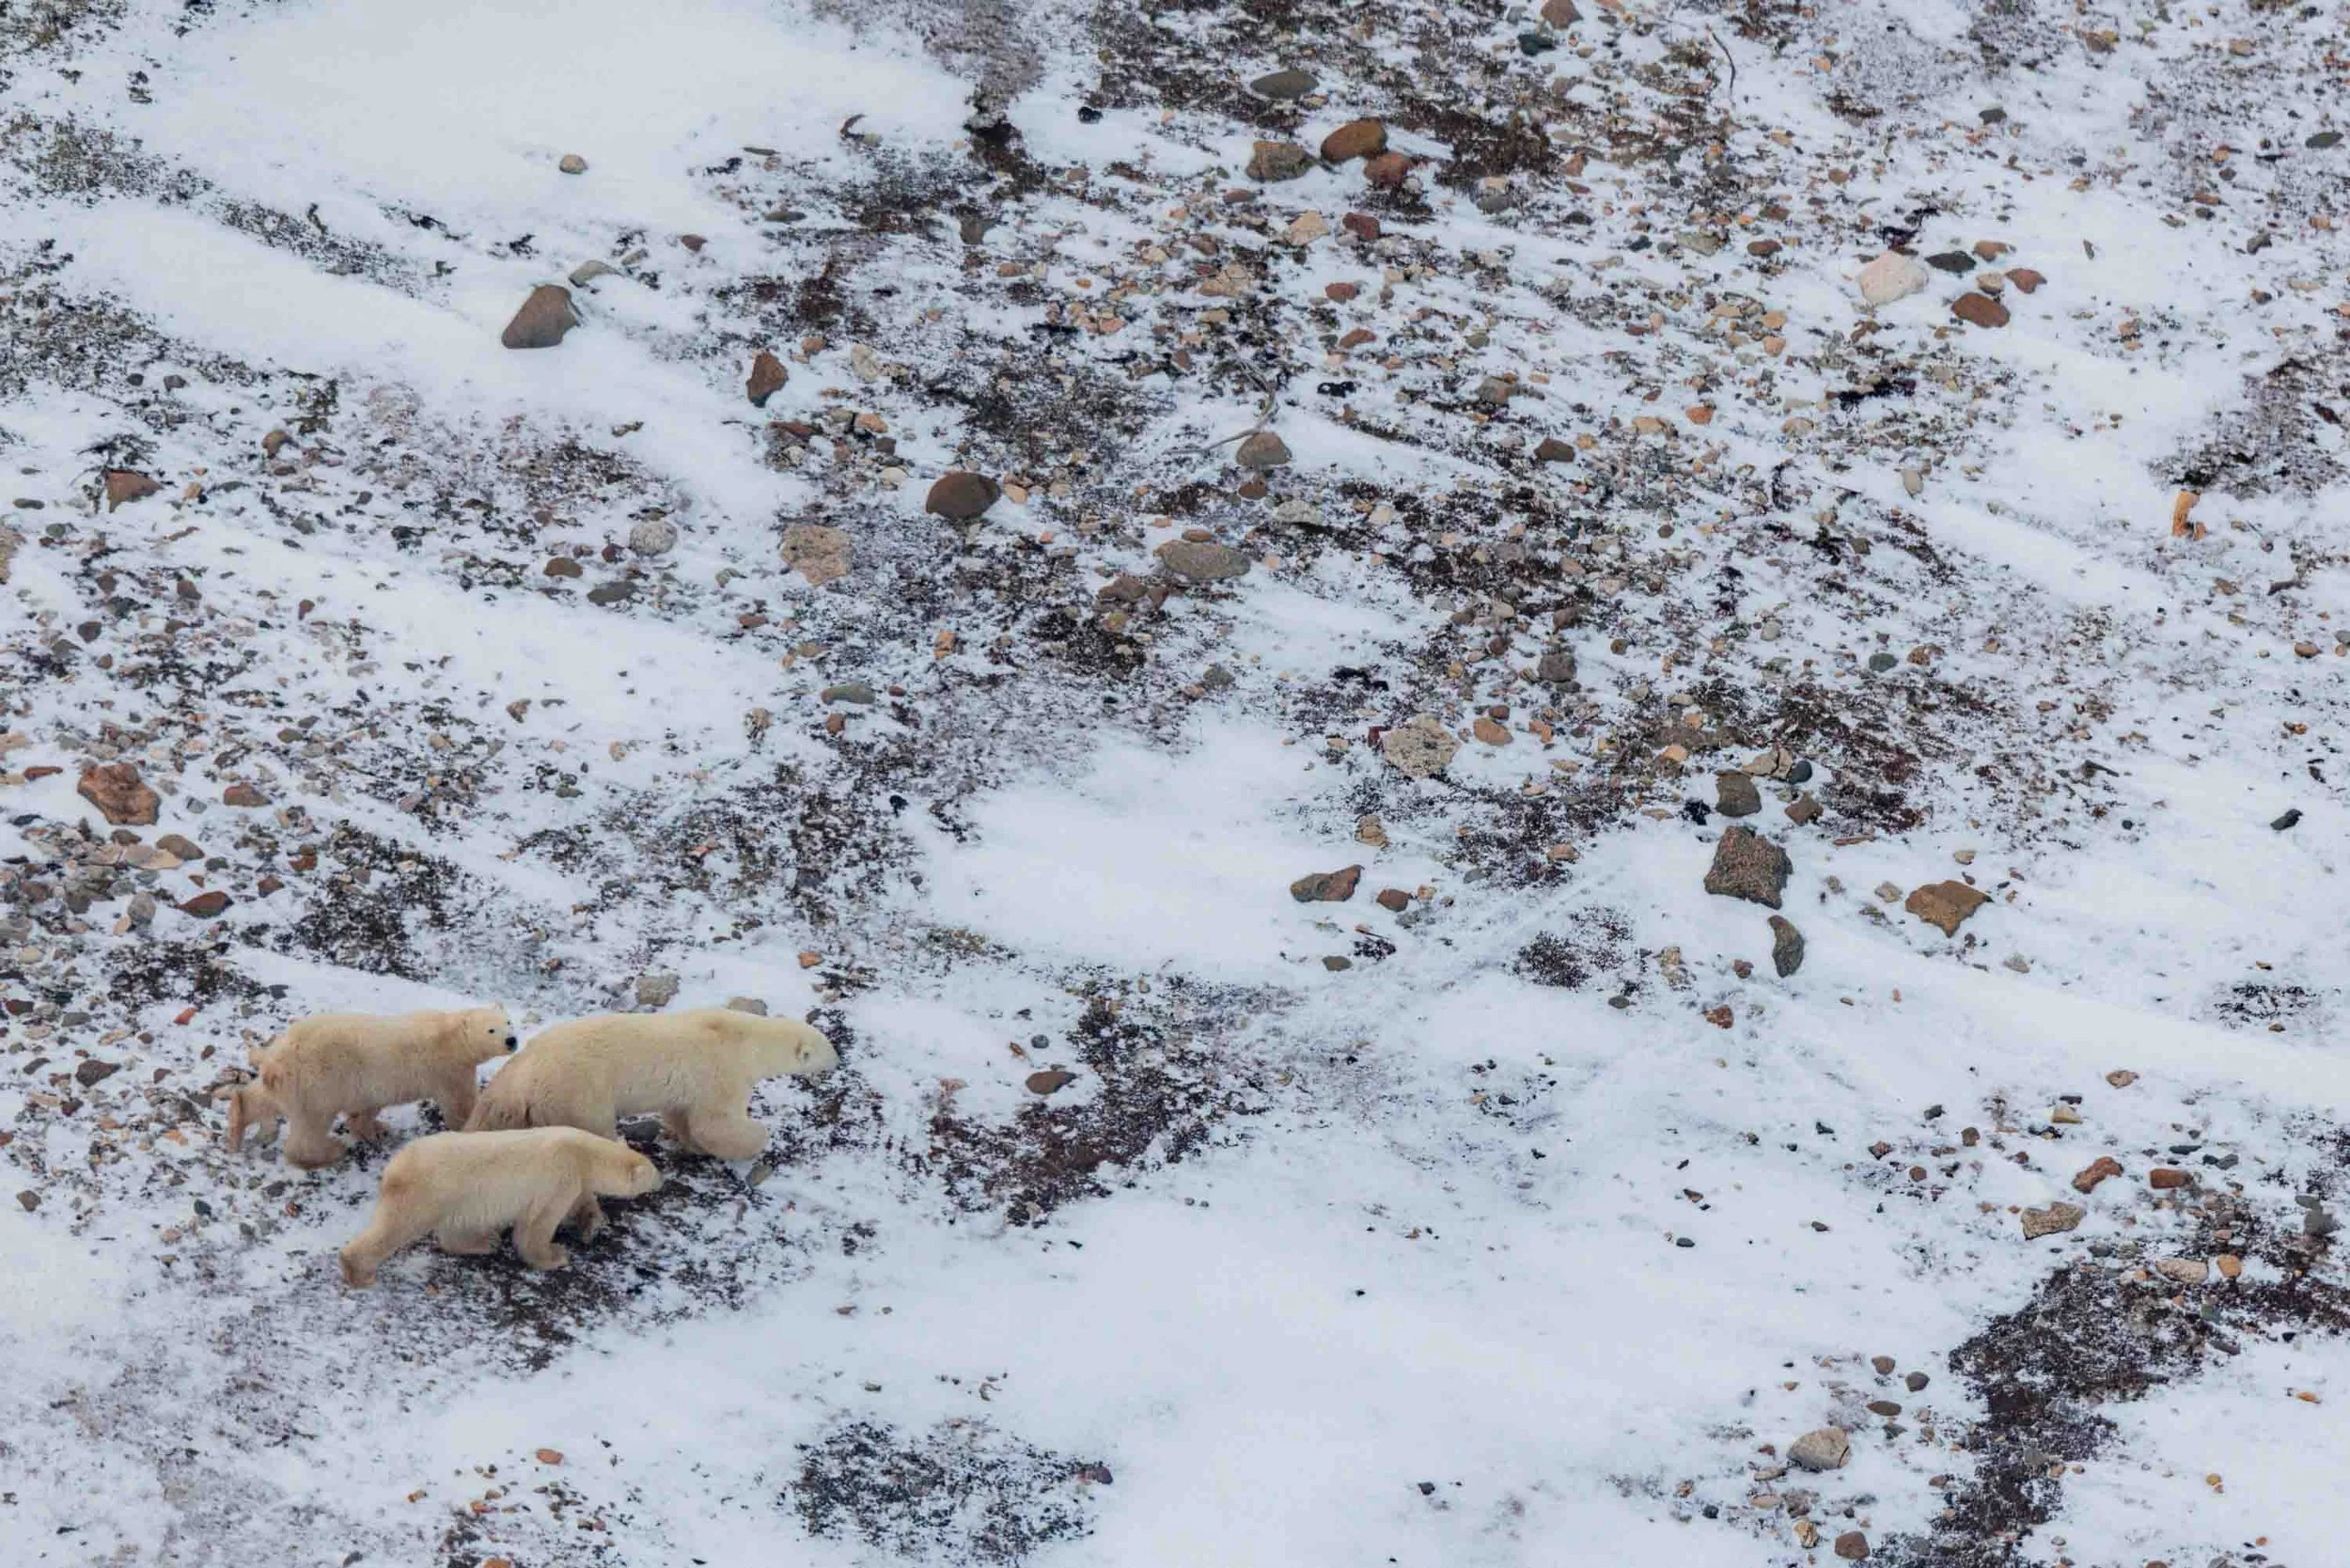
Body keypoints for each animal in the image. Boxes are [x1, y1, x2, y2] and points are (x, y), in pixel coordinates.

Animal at [222, 1006, 517, 1169]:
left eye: (508, 1021)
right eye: (491, 1030)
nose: (512, 1040)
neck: (451, 1034)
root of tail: (277, 1061)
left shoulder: (368, 1086)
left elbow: (365, 1108)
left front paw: (375, 1129)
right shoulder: (448, 1069)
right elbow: (460, 1103)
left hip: (293, 1083)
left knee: (264, 1098)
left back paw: (237, 1116)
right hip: (317, 1083)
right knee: (310, 1128)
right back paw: (329, 1151)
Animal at [337, 1126, 661, 1288]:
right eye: (654, 1170)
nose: (661, 1181)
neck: (581, 1150)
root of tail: (395, 1164)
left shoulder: (574, 1176)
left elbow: (580, 1200)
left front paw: (591, 1223)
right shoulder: (558, 1175)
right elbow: (538, 1223)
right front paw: (555, 1255)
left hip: (459, 1197)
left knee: (455, 1228)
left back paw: (484, 1241)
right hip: (428, 1192)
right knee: (395, 1226)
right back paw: (359, 1272)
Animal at [466, 1007, 838, 1159]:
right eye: (827, 1048)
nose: (838, 1060)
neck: (745, 1039)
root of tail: (525, 1067)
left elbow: (681, 1113)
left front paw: (691, 1143)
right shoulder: (723, 1073)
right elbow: (716, 1123)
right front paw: (759, 1137)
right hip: (577, 1092)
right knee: (593, 1125)